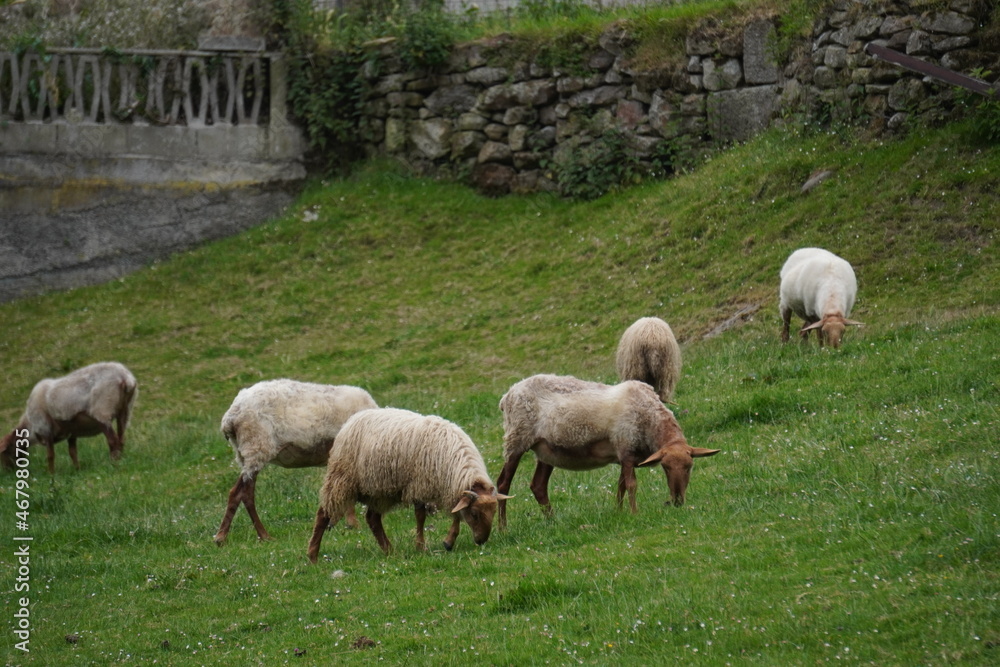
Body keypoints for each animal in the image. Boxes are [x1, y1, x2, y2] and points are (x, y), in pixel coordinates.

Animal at [0, 362, 137, 474]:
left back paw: (113, 463)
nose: (7, 471)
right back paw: (121, 460)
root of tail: (125, 377)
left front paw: (51, 474)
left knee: (113, 441)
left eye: (4, 452)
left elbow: (50, 455)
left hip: (103, 411)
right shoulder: (72, 432)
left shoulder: (45, 429)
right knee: (121, 439)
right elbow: (72, 452)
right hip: (125, 410)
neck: (30, 428)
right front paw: (77, 470)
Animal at [214, 379, 377, 546]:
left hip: (244, 453)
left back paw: (226, 536)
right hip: (256, 446)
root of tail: (231, 416)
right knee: (242, 493)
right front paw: (352, 523)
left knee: (240, 493)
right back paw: (256, 535)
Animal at [307, 407, 509, 560]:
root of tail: (353, 418)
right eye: (475, 514)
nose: (482, 541)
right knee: (323, 514)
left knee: (373, 519)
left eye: (493, 512)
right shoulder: (420, 485)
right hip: (342, 479)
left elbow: (456, 514)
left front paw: (448, 541)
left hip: (378, 491)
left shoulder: (449, 488)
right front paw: (421, 546)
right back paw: (313, 556)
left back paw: (389, 551)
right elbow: (420, 516)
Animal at [496, 374, 719, 528]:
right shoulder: (626, 446)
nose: (678, 501)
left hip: (546, 451)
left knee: (538, 485)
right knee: (503, 484)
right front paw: (634, 513)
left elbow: (620, 486)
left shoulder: (625, 455)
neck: (648, 415)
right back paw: (503, 528)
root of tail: (507, 395)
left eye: (690, 467)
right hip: (516, 439)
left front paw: (619, 512)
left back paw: (552, 521)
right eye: (665, 468)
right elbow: (631, 485)